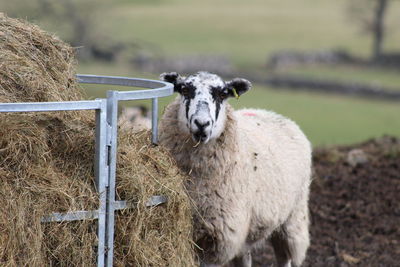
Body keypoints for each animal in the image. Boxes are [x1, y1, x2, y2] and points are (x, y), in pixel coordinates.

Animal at [158, 71, 310, 267]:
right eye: (184, 89)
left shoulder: (217, 239)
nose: (202, 124)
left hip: (293, 220)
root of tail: (274, 114)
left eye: (223, 94)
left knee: (285, 256)